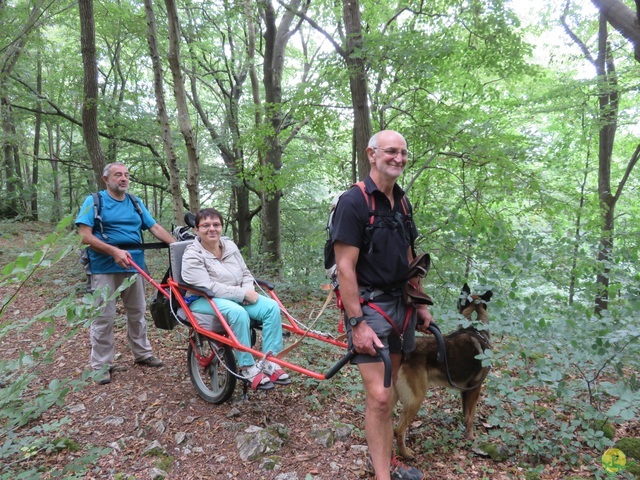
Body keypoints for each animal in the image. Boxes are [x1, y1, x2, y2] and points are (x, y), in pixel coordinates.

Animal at [392, 284, 492, 460]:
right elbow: (471, 416)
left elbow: (465, 414)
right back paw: (406, 454)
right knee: (399, 430)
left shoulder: (465, 390)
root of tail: (404, 352)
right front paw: (471, 437)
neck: (474, 329)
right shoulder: (475, 388)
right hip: (416, 398)